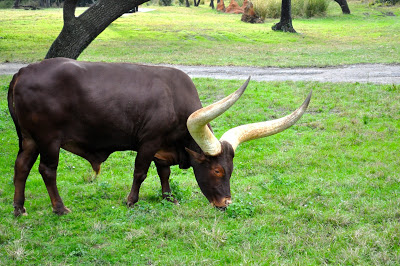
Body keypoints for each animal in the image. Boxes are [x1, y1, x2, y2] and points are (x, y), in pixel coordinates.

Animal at [7, 57, 312, 216]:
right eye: (216, 170)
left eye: (231, 170)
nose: (226, 204)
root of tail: (22, 72)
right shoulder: (148, 142)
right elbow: (140, 172)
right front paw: (131, 201)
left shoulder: (163, 148)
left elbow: (164, 172)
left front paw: (168, 197)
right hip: (49, 140)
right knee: (47, 170)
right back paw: (60, 209)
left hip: (29, 139)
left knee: (21, 167)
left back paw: (19, 209)